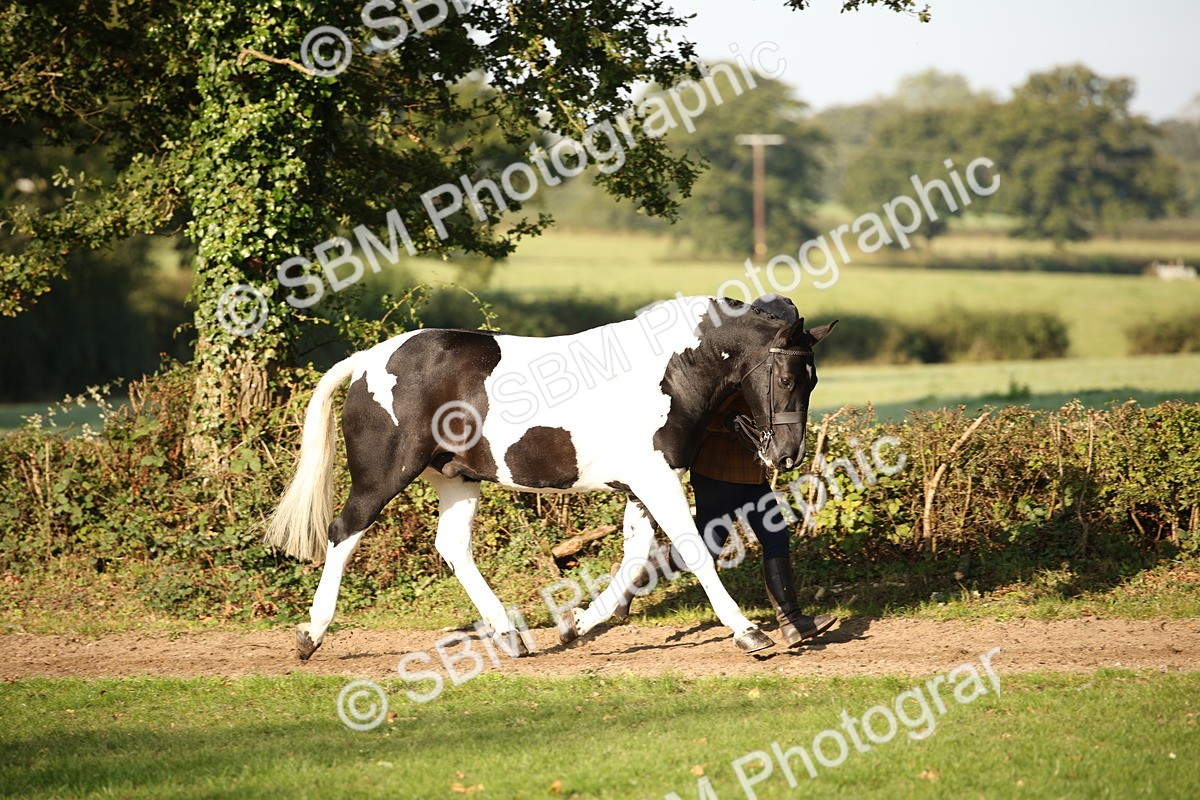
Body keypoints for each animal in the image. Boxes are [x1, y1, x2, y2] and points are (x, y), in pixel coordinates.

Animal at [265, 294, 836, 660]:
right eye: (788, 377)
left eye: (813, 380)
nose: (787, 454)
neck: (672, 371)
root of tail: (367, 360)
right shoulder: (657, 481)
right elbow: (692, 550)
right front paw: (749, 634)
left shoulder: (642, 486)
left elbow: (635, 558)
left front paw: (575, 625)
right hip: (382, 477)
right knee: (343, 533)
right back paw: (311, 636)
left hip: (457, 479)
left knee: (452, 547)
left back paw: (510, 637)